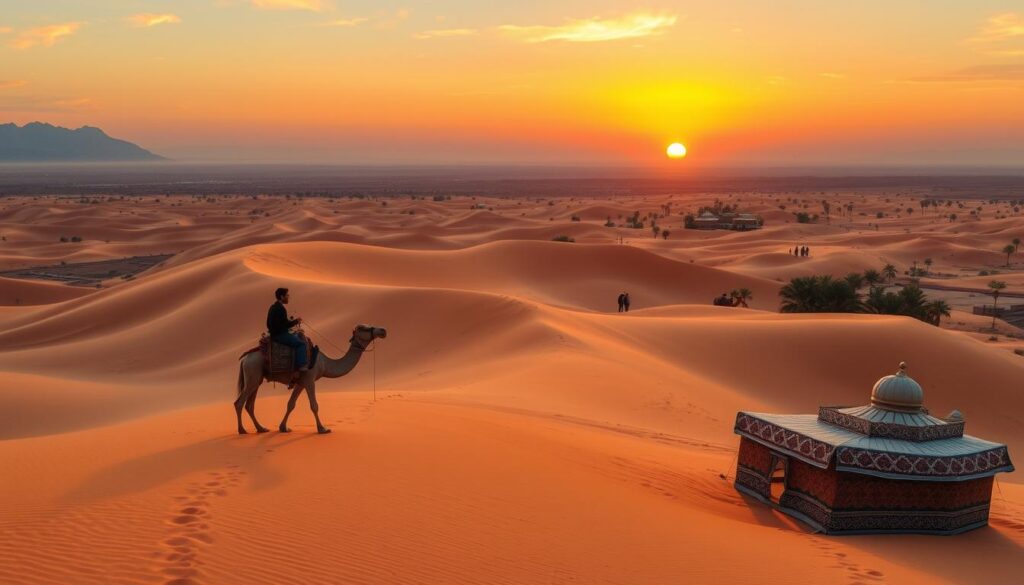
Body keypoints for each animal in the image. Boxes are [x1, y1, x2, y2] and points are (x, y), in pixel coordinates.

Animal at [235, 325, 387, 434]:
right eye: (365, 328)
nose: (383, 330)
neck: (324, 363)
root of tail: (244, 359)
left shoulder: (300, 382)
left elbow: (290, 404)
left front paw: (283, 427)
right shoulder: (309, 379)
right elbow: (314, 405)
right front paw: (322, 429)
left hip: (257, 378)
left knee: (249, 405)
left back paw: (261, 428)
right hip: (253, 372)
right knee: (239, 402)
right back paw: (242, 430)